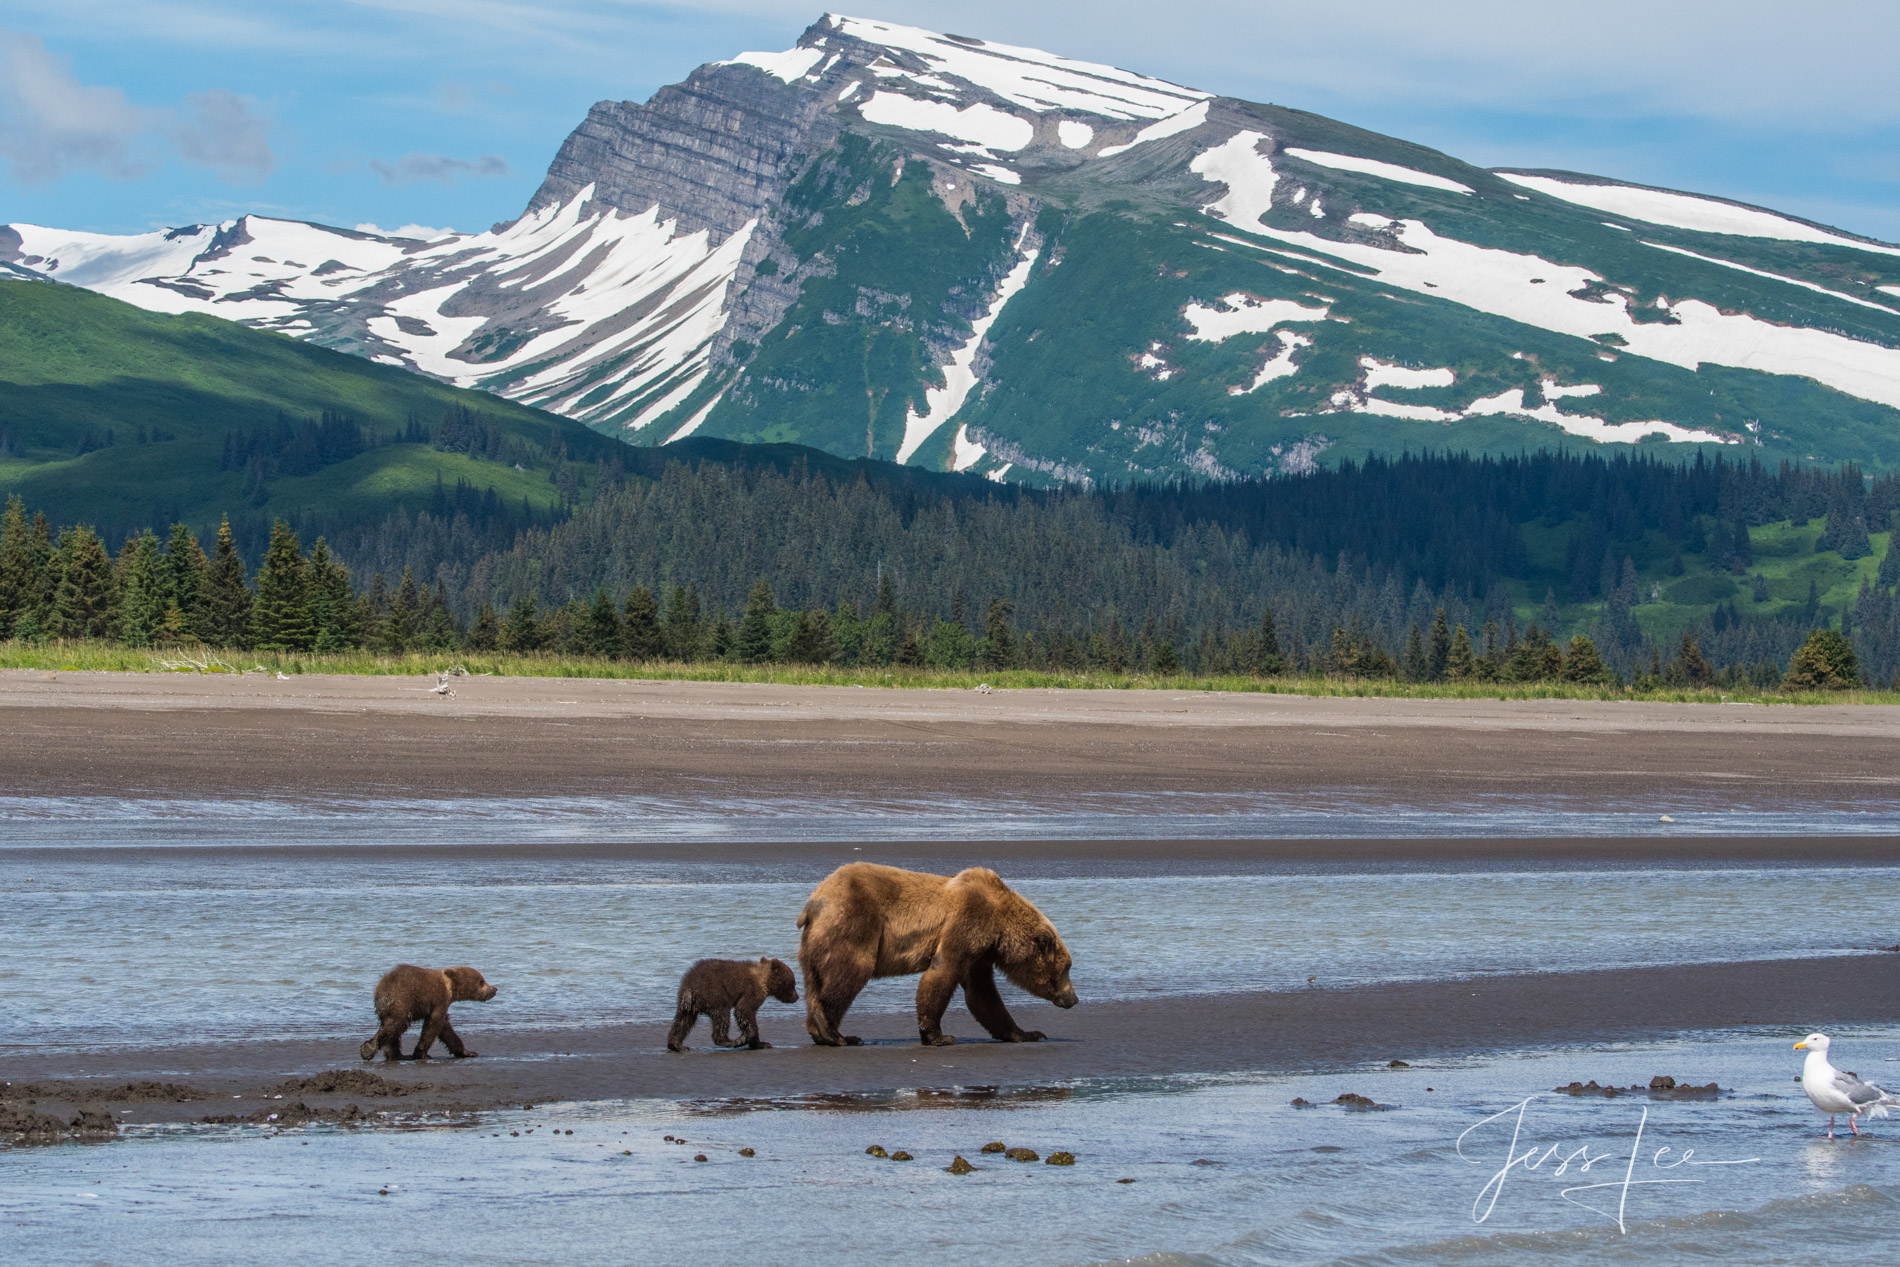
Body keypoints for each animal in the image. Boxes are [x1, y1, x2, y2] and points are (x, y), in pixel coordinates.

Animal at [357, 964, 497, 1063]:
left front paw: (468, 1052)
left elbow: (446, 1029)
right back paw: (368, 1049)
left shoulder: (441, 1006)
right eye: (481, 981)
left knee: (392, 1033)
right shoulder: (438, 1000)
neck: (450, 988)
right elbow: (432, 1025)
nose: (494, 989)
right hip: (402, 1002)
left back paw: (398, 1055)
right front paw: (421, 1053)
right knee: (395, 1025)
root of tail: (380, 990)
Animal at [665, 961, 798, 1048]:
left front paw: (761, 1043)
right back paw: (734, 1040)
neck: (764, 982)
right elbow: (744, 1011)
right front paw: (758, 1041)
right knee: (722, 1017)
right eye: (793, 983)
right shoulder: (752, 991)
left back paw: (676, 1045)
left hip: (687, 1004)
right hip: (714, 995)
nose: (797, 997)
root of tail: (689, 988)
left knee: (682, 1021)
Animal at [794, 862, 1079, 1048]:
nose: (1073, 998)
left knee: (814, 981)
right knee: (851, 970)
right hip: (854, 921)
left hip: (811, 945)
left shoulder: (981, 952)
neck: (1000, 927)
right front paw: (939, 1036)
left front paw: (1026, 1033)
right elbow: (943, 972)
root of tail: (814, 901)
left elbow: (982, 993)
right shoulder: (968, 921)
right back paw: (835, 1033)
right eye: (1066, 968)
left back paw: (820, 1031)